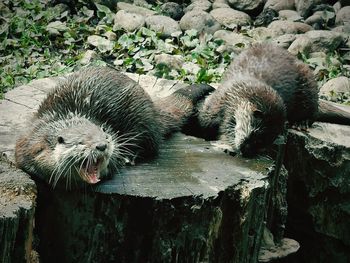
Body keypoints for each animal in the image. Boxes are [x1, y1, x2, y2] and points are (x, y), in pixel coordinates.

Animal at [15, 67, 211, 189]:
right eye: (81, 142)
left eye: (106, 137)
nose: (102, 146)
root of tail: (152, 106)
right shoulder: (26, 143)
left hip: (143, 118)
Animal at [187, 43, 350, 158]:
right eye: (254, 135)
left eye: (262, 143)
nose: (246, 151)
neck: (236, 92)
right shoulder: (214, 104)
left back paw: (301, 122)